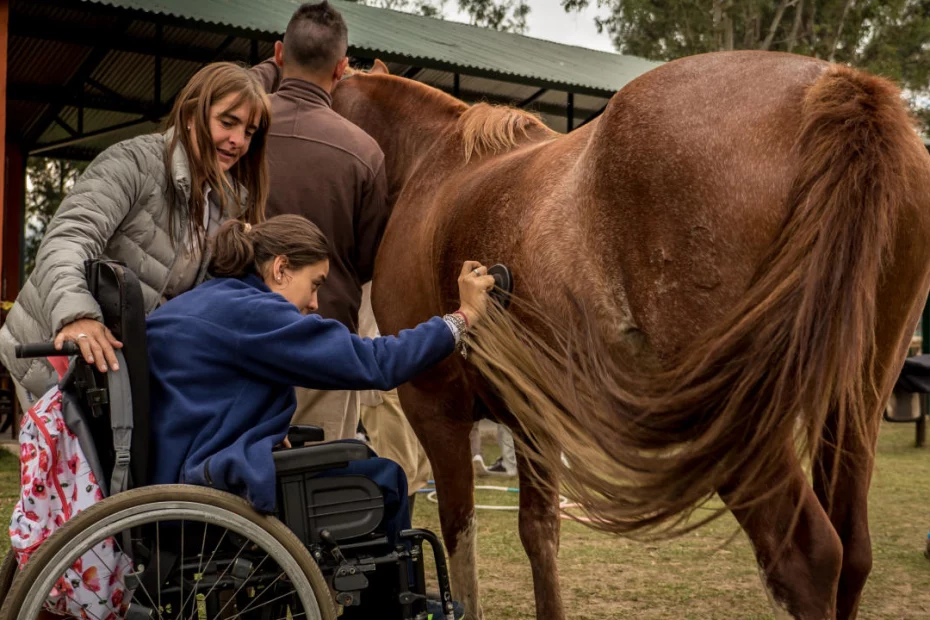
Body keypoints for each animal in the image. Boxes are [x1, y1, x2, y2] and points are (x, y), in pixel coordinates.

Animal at [330, 50, 928, 616]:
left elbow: (459, 543)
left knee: (807, 559)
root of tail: (837, 86)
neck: (437, 168)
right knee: (854, 552)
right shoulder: (532, 421)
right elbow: (539, 535)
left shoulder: (436, 409)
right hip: (853, 404)